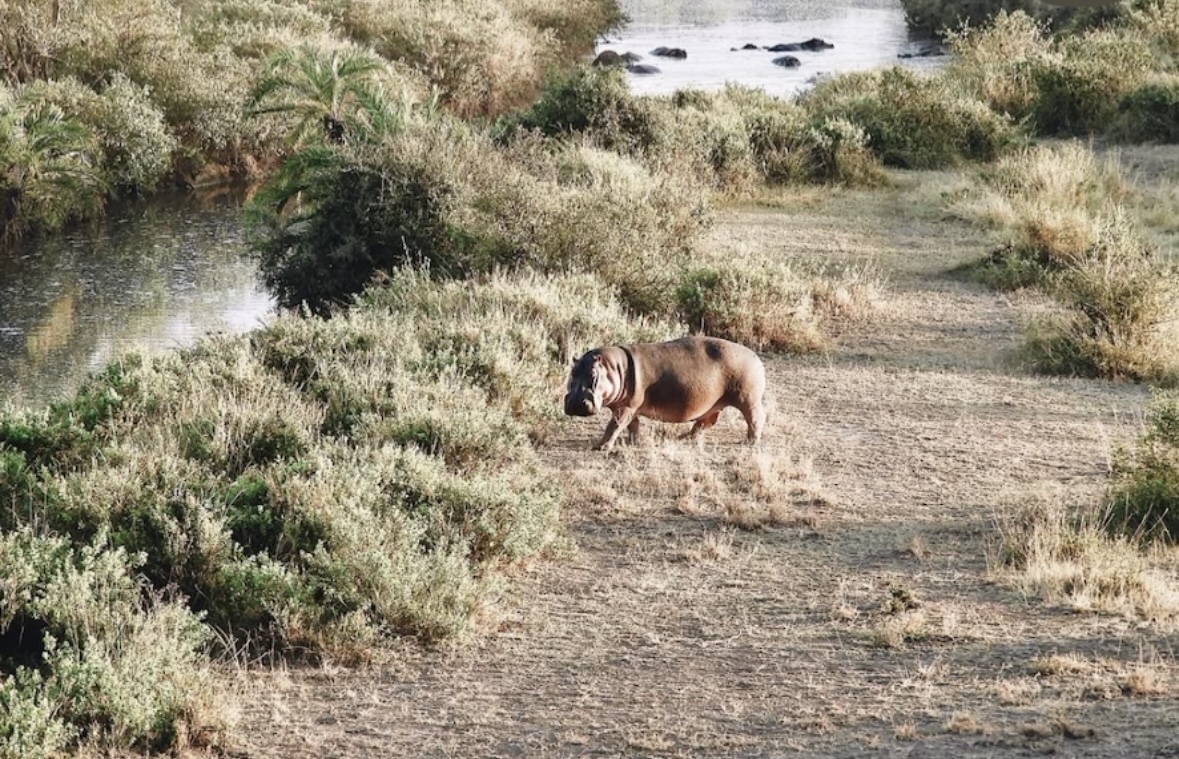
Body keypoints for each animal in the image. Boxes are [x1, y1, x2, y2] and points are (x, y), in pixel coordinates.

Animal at [564, 336, 767, 452]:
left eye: (593, 374)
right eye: (572, 373)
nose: (574, 403)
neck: (614, 367)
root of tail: (756, 357)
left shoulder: (626, 406)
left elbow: (614, 425)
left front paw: (601, 447)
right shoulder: (630, 406)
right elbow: (632, 425)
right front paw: (633, 442)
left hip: (748, 400)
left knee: (755, 419)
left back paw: (749, 442)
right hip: (712, 404)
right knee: (705, 422)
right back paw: (684, 437)